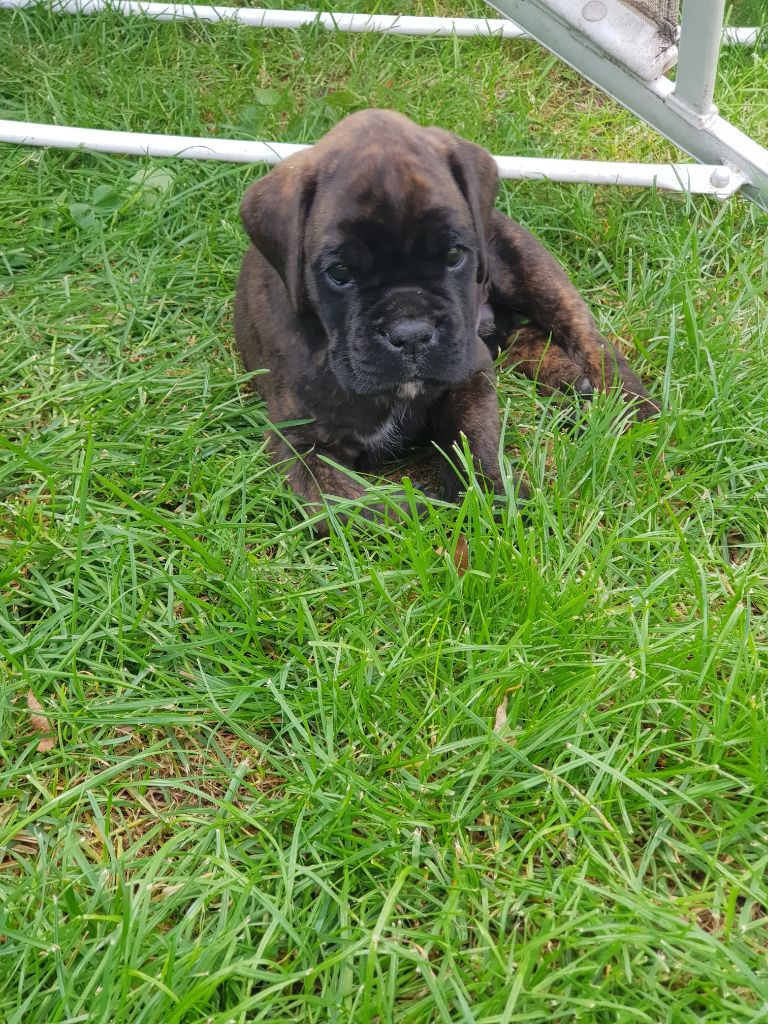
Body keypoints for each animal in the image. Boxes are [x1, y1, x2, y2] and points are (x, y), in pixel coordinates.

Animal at [234, 110, 655, 528]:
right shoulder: (300, 445)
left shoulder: (469, 376)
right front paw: (428, 513)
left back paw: (629, 404)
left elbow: (473, 439)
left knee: (584, 334)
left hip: (530, 269)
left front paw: (490, 499)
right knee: (525, 340)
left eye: (454, 255)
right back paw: (572, 383)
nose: (410, 334)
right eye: (339, 272)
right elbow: (351, 509)